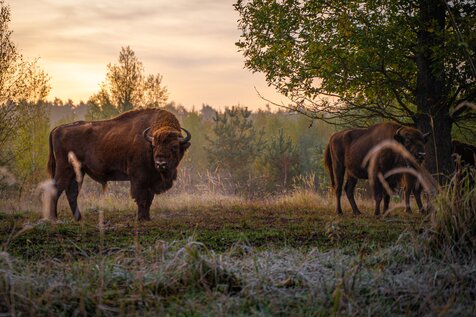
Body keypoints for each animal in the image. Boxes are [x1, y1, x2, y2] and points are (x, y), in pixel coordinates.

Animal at [47, 108, 192, 220]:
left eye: (174, 146)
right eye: (154, 145)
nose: (161, 163)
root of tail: (57, 129)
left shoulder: (151, 180)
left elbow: (149, 199)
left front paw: (147, 218)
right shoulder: (139, 178)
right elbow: (141, 198)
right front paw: (140, 218)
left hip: (77, 172)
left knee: (71, 192)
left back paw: (78, 218)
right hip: (64, 169)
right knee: (57, 188)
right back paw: (54, 218)